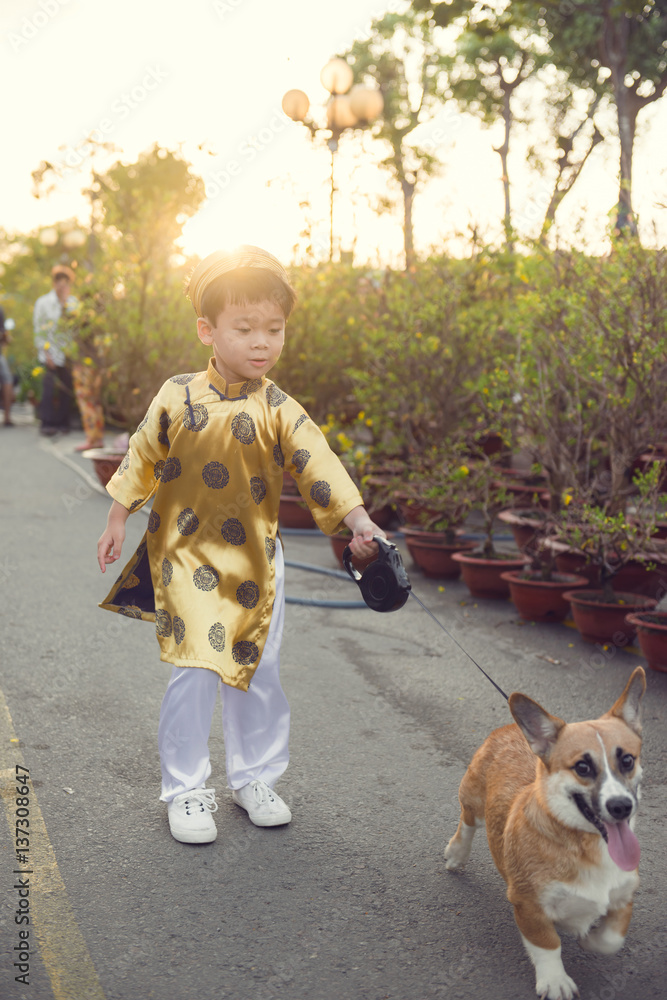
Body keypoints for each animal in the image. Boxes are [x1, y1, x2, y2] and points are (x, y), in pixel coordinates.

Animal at [446, 664, 644, 1000]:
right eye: (582, 767)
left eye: (627, 760)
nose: (621, 806)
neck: (587, 845)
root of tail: (510, 728)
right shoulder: (528, 904)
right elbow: (548, 944)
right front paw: (555, 981)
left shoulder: (623, 896)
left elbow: (611, 939)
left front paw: (589, 938)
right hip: (473, 798)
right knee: (467, 823)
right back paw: (456, 854)